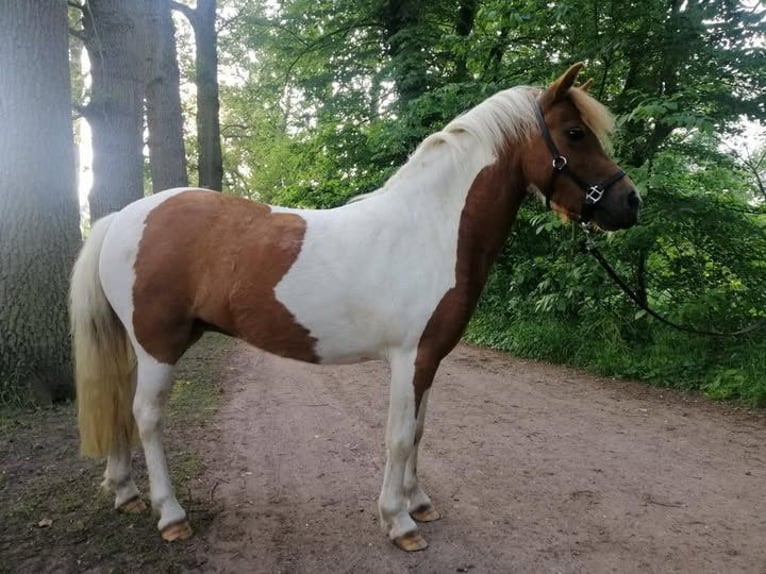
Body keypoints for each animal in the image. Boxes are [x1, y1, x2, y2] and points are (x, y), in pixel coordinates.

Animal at [70, 64, 640, 552]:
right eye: (575, 134)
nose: (630, 202)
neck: (430, 229)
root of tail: (123, 216)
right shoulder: (409, 357)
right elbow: (399, 437)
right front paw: (399, 522)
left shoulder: (429, 359)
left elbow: (419, 432)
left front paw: (419, 502)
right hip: (159, 345)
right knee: (146, 416)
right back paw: (171, 515)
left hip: (139, 345)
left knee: (119, 403)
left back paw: (125, 492)